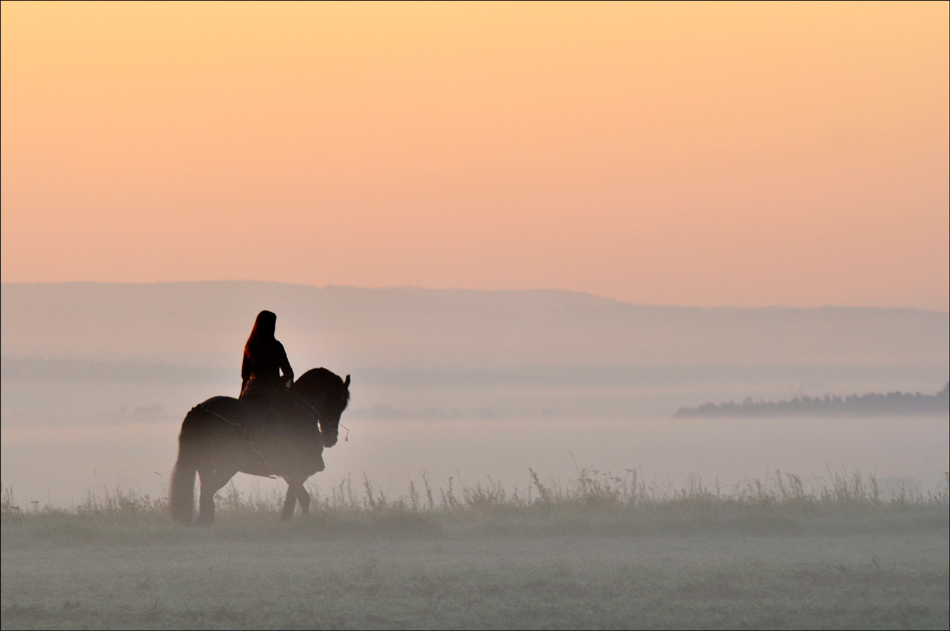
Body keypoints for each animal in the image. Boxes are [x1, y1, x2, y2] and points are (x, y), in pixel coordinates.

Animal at [169, 368, 352, 524]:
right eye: (340, 402)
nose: (330, 439)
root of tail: (199, 410)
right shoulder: (299, 470)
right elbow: (298, 497)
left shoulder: (290, 472)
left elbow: (299, 497)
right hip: (226, 466)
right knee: (208, 490)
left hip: (206, 463)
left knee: (206, 489)